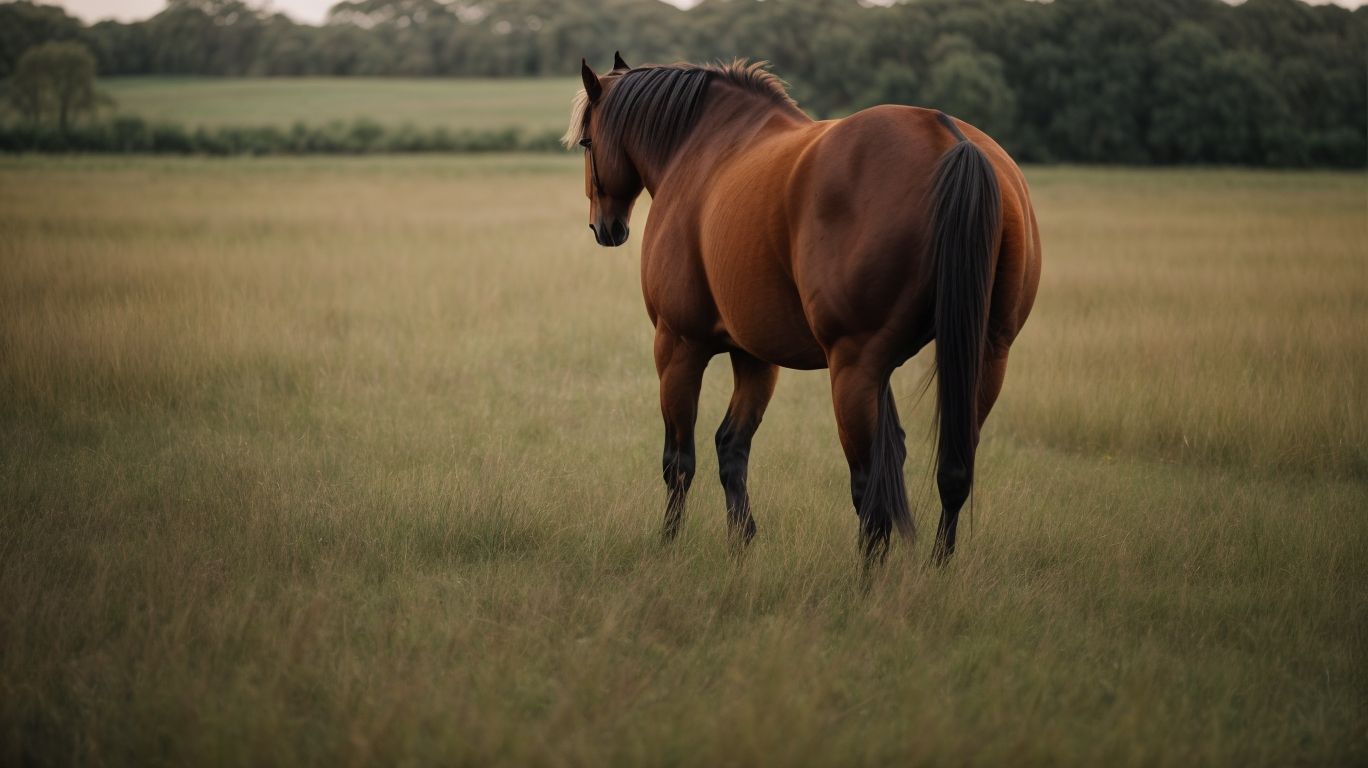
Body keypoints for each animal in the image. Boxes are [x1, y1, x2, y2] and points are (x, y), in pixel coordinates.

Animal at [564, 54, 1041, 565]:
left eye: (588, 143)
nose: (604, 227)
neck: (702, 149)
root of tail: (950, 139)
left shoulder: (678, 346)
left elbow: (680, 461)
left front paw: (670, 543)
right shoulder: (756, 357)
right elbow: (732, 448)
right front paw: (742, 544)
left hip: (853, 368)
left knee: (870, 490)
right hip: (984, 357)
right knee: (952, 473)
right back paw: (937, 568)